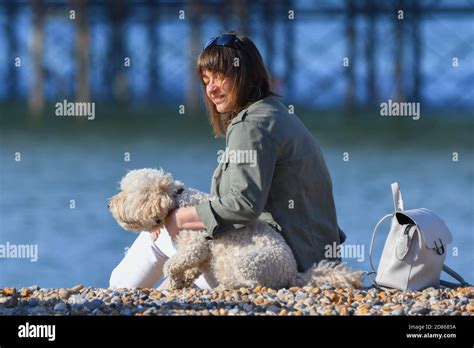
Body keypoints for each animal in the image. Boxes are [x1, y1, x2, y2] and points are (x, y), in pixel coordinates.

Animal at [108, 167, 362, 290]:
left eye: (126, 193)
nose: (109, 203)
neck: (177, 201)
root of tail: (293, 274)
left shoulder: (195, 246)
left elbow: (170, 264)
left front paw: (173, 281)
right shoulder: (201, 255)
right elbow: (189, 267)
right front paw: (184, 279)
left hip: (246, 260)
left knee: (251, 283)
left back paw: (227, 286)